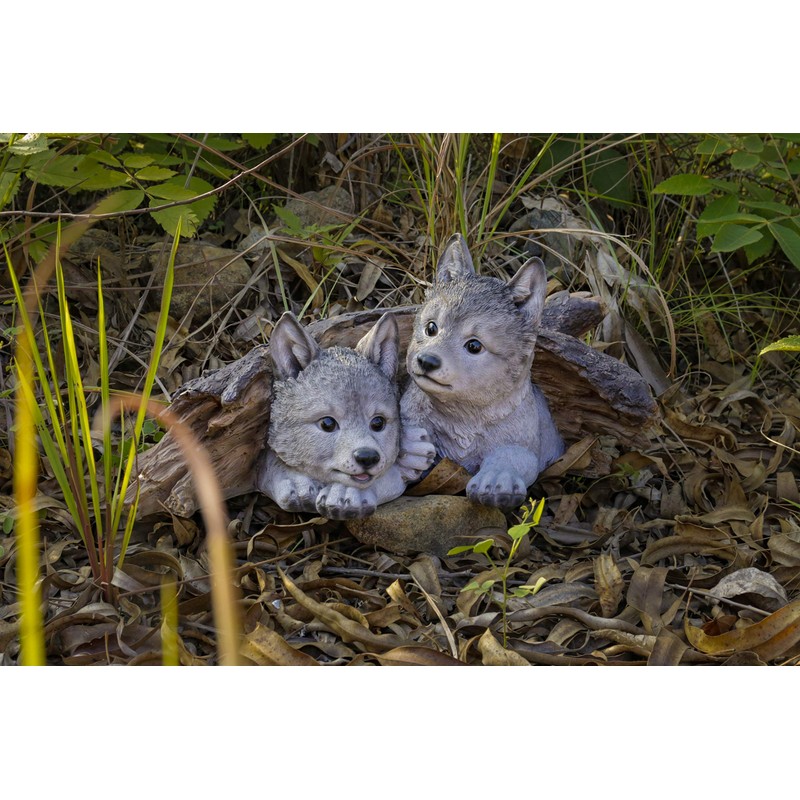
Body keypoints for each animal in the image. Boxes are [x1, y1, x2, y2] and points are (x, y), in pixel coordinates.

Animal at [401, 233, 564, 509]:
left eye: (474, 346)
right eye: (431, 328)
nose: (427, 361)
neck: (463, 421)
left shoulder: (523, 443)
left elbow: (515, 455)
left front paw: (496, 479)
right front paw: (409, 446)